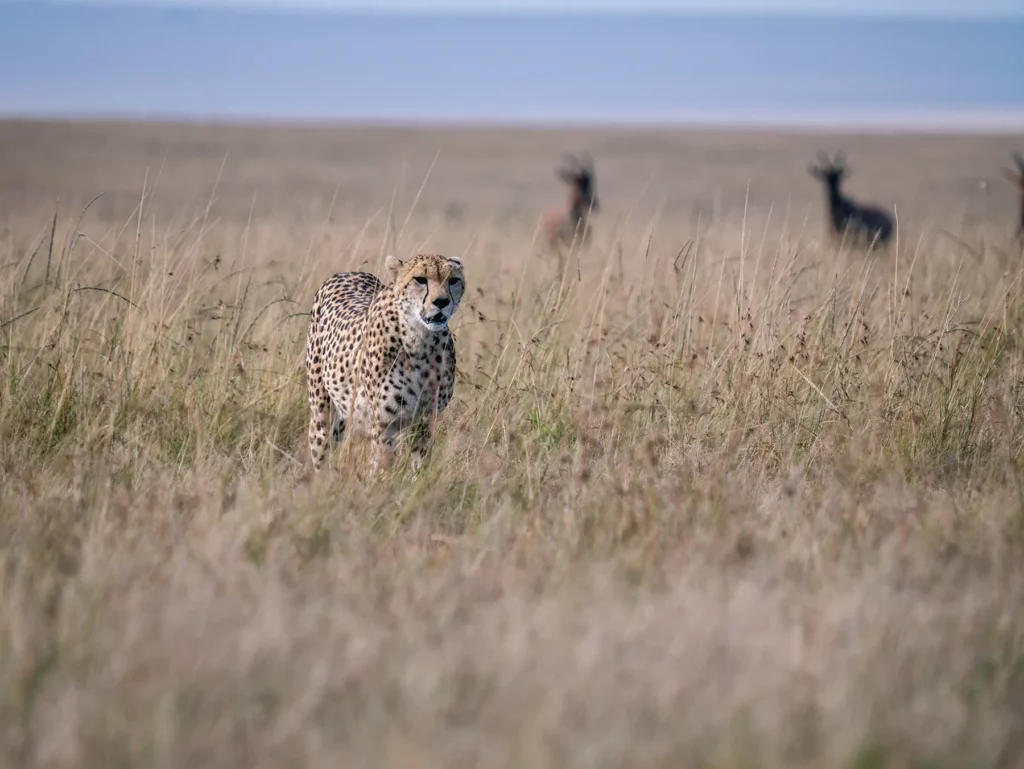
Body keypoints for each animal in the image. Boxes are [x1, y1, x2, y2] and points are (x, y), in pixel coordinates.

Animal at [304, 253, 465, 473]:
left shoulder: (425, 420)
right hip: (323, 412)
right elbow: (384, 463)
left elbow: (420, 463)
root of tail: (347, 272)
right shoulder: (383, 422)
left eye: (453, 280)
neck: (420, 340)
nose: (441, 302)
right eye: (420, 279)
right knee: (321, 452)